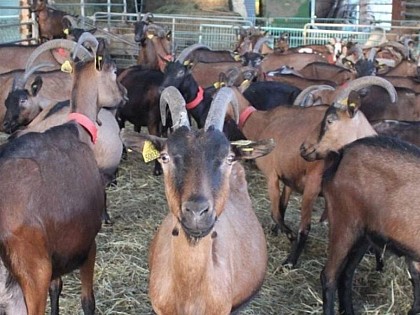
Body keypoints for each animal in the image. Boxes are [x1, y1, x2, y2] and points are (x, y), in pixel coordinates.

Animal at [0, 32, 125, 315]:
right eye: (114, 71)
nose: (124, 95)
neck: (78, 128)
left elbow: (56, 288)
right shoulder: (88, 245)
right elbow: (88, 301)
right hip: (32, 275)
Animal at [221, 76, 396, 266]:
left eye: (330, 120)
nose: (304, 148)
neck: (264, 123)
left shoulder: (277, 176)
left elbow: (285, 217)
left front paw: (290, 250)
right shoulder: (290, 178)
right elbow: (282, 207)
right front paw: (278, 231)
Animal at [298, 89, 420, 315]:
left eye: (329, 120)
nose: (303, 148)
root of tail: (343, 155)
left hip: (363, 234)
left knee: (345, 274)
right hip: (344, 224)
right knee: (329, 275)